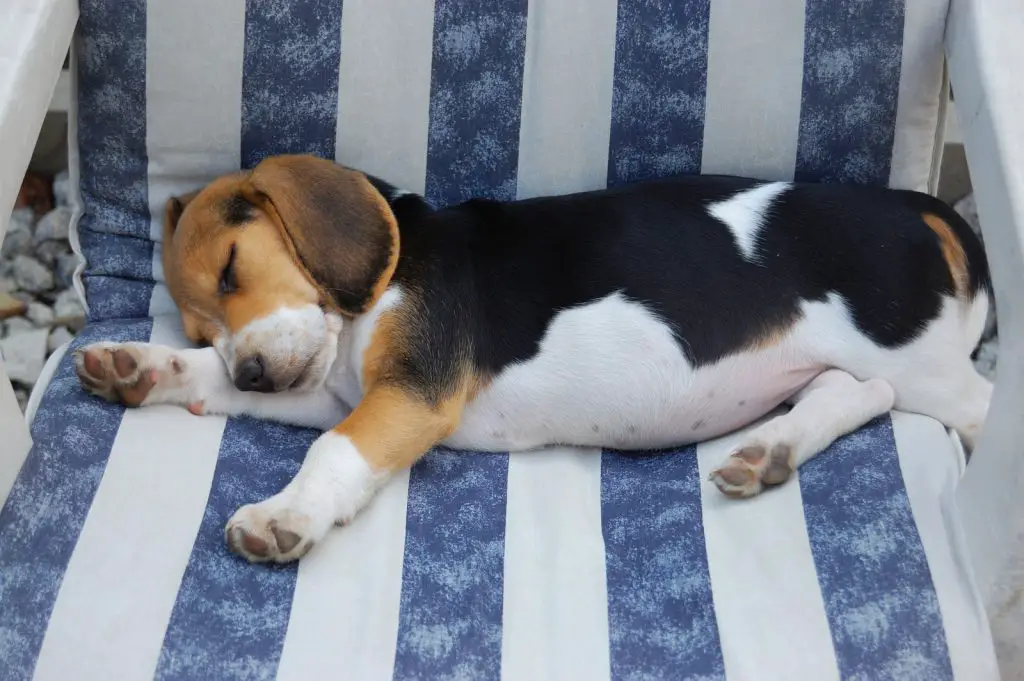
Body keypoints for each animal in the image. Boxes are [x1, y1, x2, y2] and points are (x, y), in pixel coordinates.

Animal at [72, 153, 991, 561]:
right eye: (198, 330)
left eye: (233, 269)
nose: (254, 370)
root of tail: (916, 208)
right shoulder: (337, 388)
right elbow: (243, 395)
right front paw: (140, 366)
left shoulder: (407, 394)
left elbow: (331, 454)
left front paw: (280, 514)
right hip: (881, 369)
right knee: (853, 393)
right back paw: (769, 452)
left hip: (933, 370)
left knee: (954, 401)